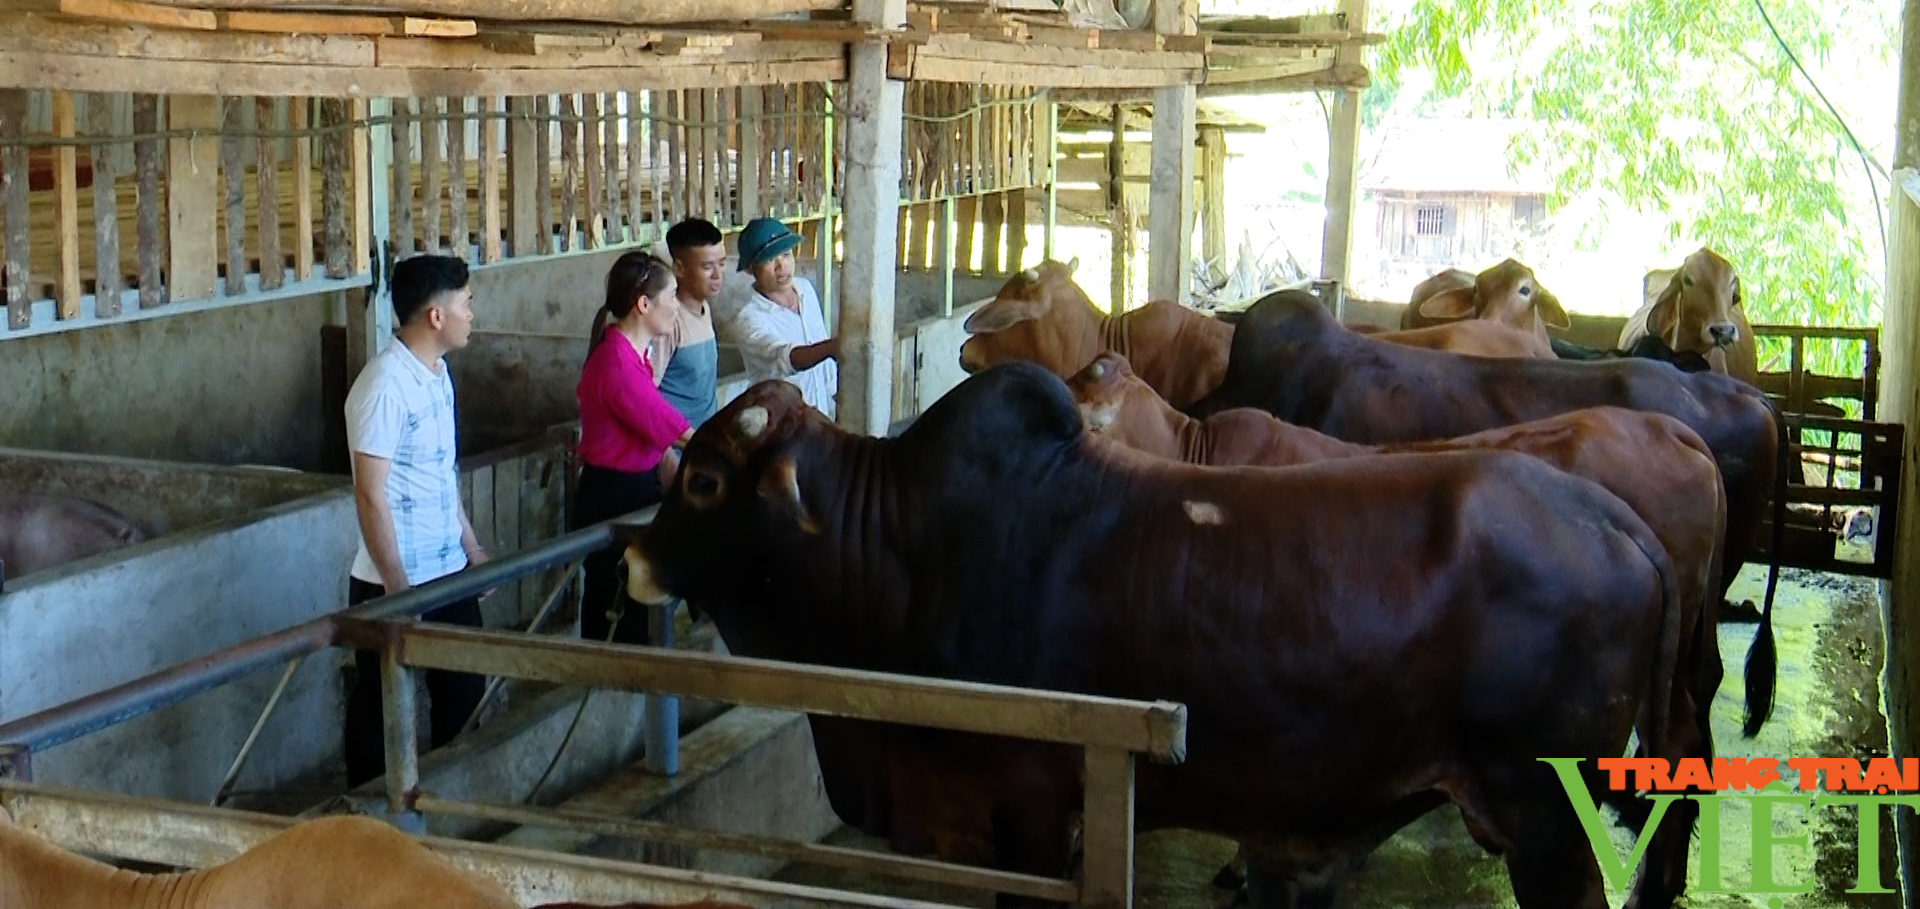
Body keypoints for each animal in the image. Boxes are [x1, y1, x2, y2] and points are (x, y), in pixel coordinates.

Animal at [614, 361, 1697, 907]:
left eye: (703, 481)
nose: (629, 554)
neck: (899, 547)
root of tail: (1613, 520)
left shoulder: (1029, 817)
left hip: (1549, 826)